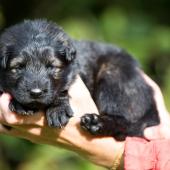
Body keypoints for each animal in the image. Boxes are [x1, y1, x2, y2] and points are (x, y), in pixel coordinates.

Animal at [0, 19, 159, 140]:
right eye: (18, 67)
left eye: (52, 66)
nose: (36, 93)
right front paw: (22, 105)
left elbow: (63, 88)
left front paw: (58, 109)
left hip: (115, 75)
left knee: (125, 122)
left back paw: (96, 123)